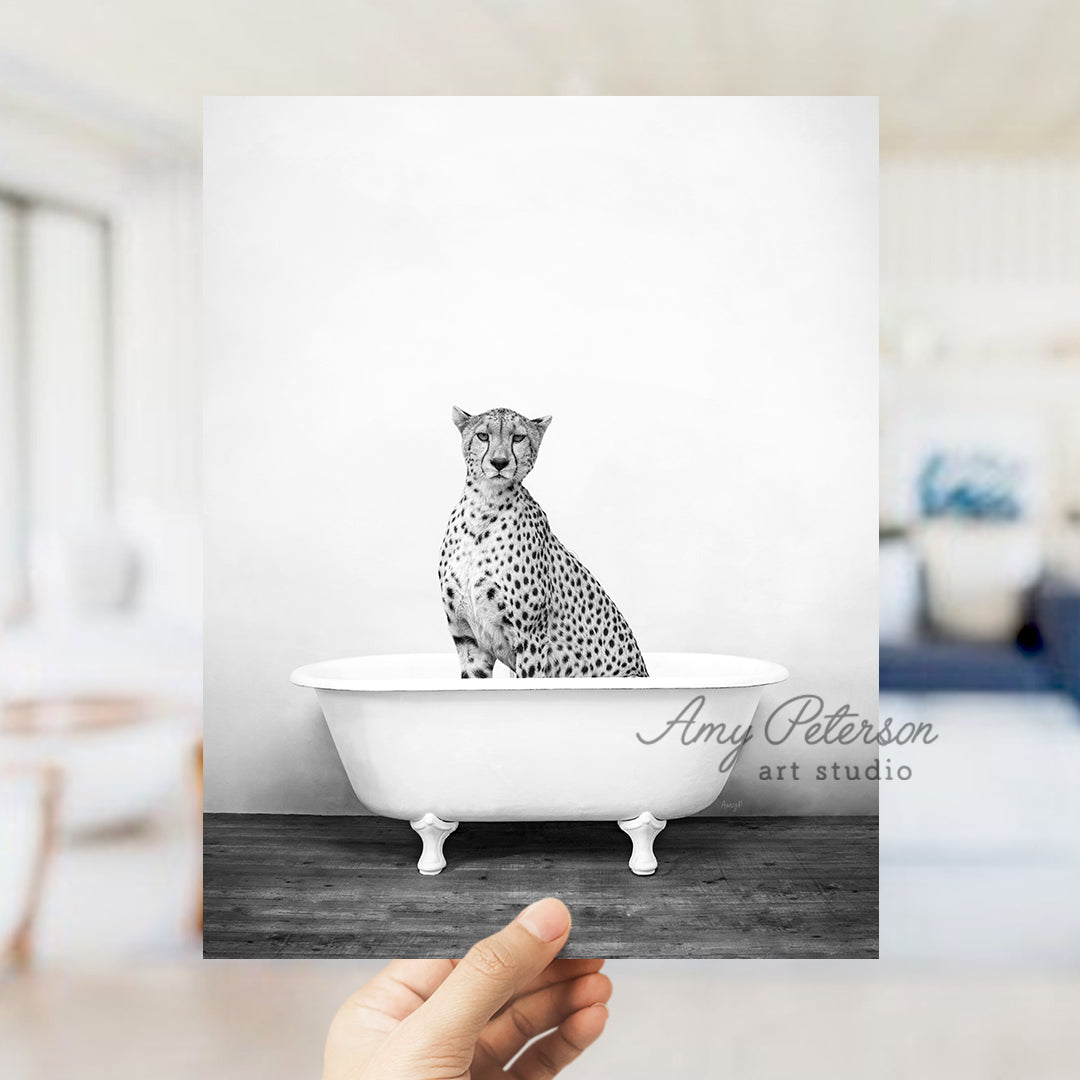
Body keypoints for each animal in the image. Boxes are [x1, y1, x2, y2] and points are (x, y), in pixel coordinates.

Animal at [436, 406, 643, 673]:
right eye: (483, 436)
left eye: (518, 438)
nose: (499, 462)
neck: (484, 506)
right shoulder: (468, 639)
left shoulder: (531, 638)